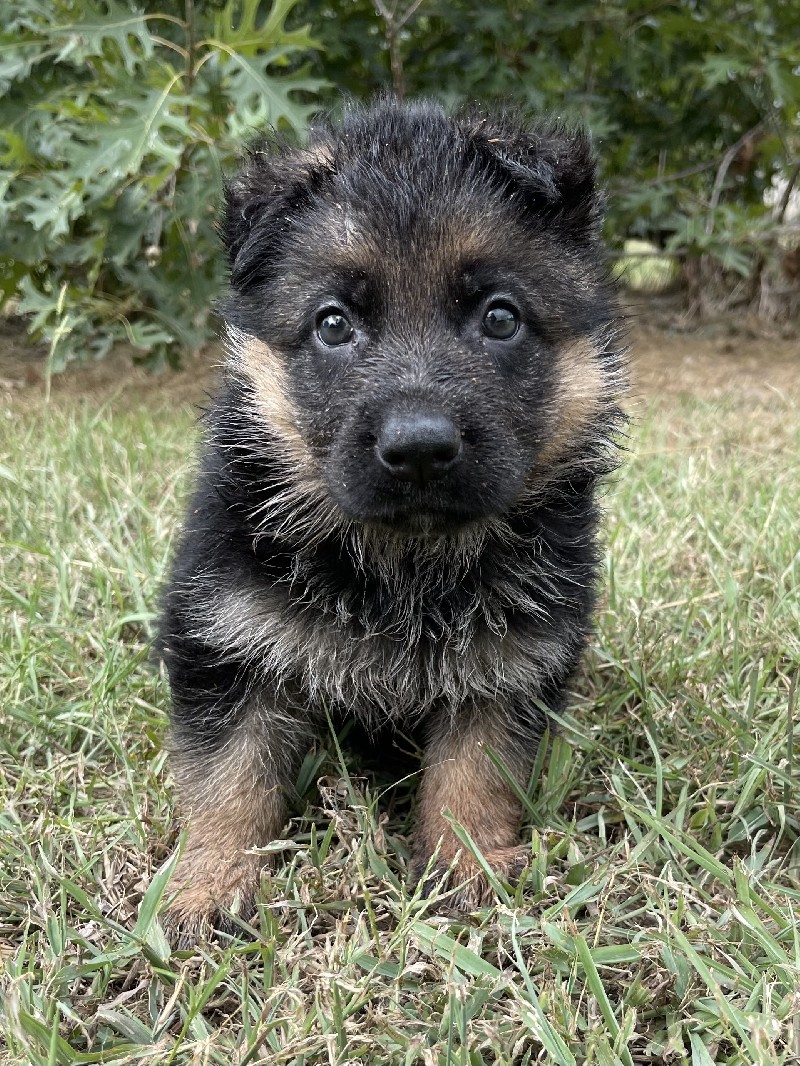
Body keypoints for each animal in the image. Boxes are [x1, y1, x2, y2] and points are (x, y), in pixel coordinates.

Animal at [157, 95, 627, 938]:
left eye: (499, 317)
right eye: (333, 323)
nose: (418, 449)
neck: (402, 566)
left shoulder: (509, 666)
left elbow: (477, 774)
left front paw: (467, 870)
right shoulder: (227, 642)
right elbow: (227, 779)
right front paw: (209, 884)